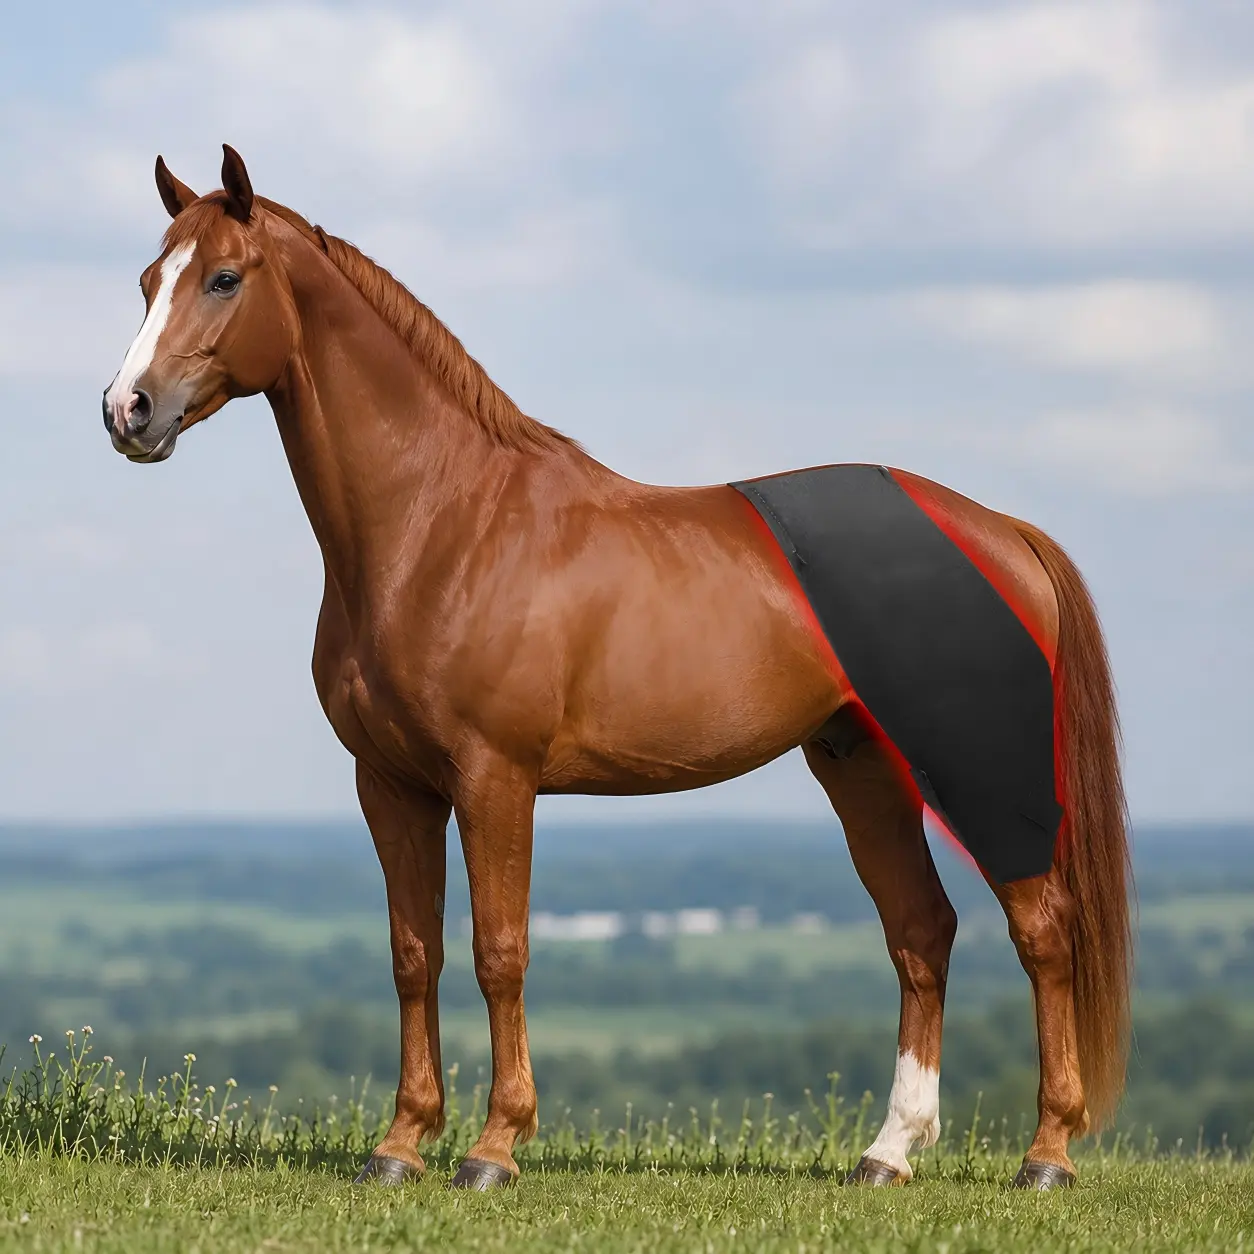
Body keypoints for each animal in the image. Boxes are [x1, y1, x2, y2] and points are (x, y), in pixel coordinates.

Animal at [101, 145, 1131, 1192]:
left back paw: (1047, 1155)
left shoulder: (495, 778)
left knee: (1042, 931)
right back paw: (888, 1153)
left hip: (979, 772)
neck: (443, 523)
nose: (127, 410)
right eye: (148, 281)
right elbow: (413, 955)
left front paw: (494, 1148)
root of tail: (1003, 530)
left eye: (225, 278)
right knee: (922, 932)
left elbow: (500, 952)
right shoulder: (390, 784)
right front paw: (400, 1146)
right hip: (863, 767)